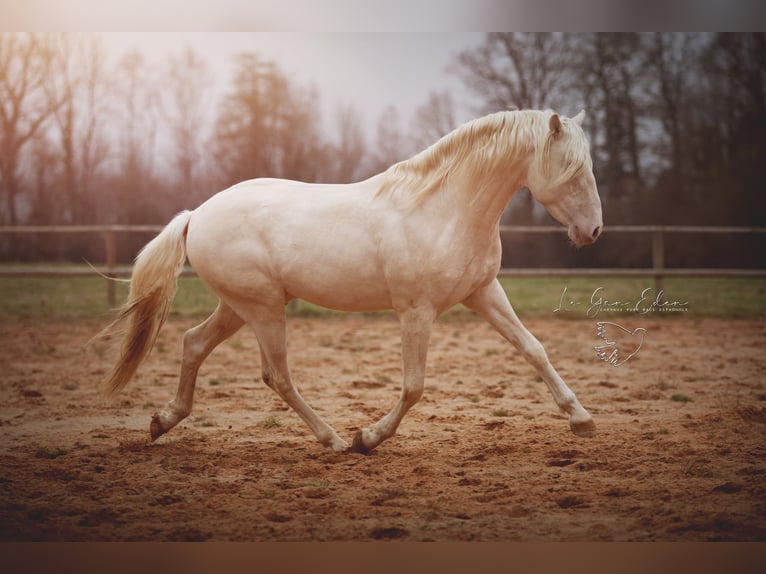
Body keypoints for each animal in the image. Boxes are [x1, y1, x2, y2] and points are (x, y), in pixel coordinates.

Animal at [103, 110, 608, 456]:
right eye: (572, 169)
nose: (593, 231)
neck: (443, 209)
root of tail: (197, 215)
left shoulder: (483, 293)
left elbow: (534, 349)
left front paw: (582, 419)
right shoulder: (416, 311)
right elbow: (413, 386)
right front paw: (367, 437)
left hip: (240, 307)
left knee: (194, 343)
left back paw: (163, 421)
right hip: (262, 309)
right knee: (277, 375)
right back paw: (333, 440)